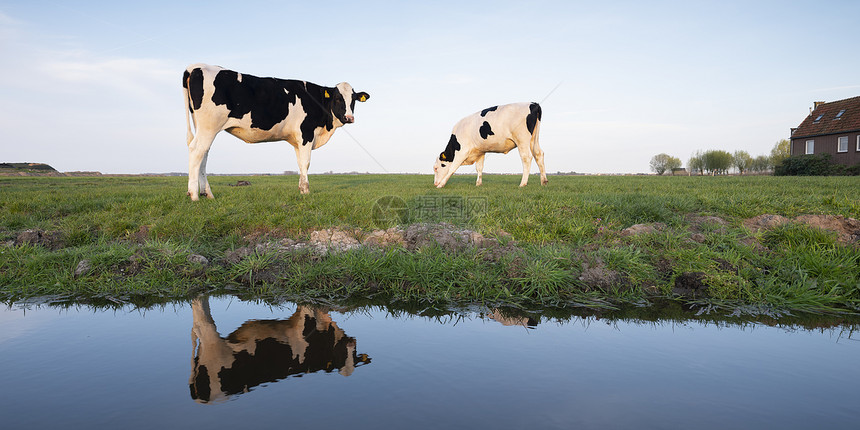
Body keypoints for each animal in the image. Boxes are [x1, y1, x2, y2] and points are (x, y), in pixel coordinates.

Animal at [181, 63, 370, 200]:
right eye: (338, 98)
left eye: (353, 99)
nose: (349, 117)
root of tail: (196, 66)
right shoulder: (306, 133)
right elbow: (306, 163)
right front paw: (306, 191)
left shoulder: (297, 140)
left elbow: (299, 163)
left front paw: (301, 189)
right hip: (209, 126)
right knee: (196, 151)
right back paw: (194, 195)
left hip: (203, 126)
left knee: (203, 155)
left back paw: (208, 194)